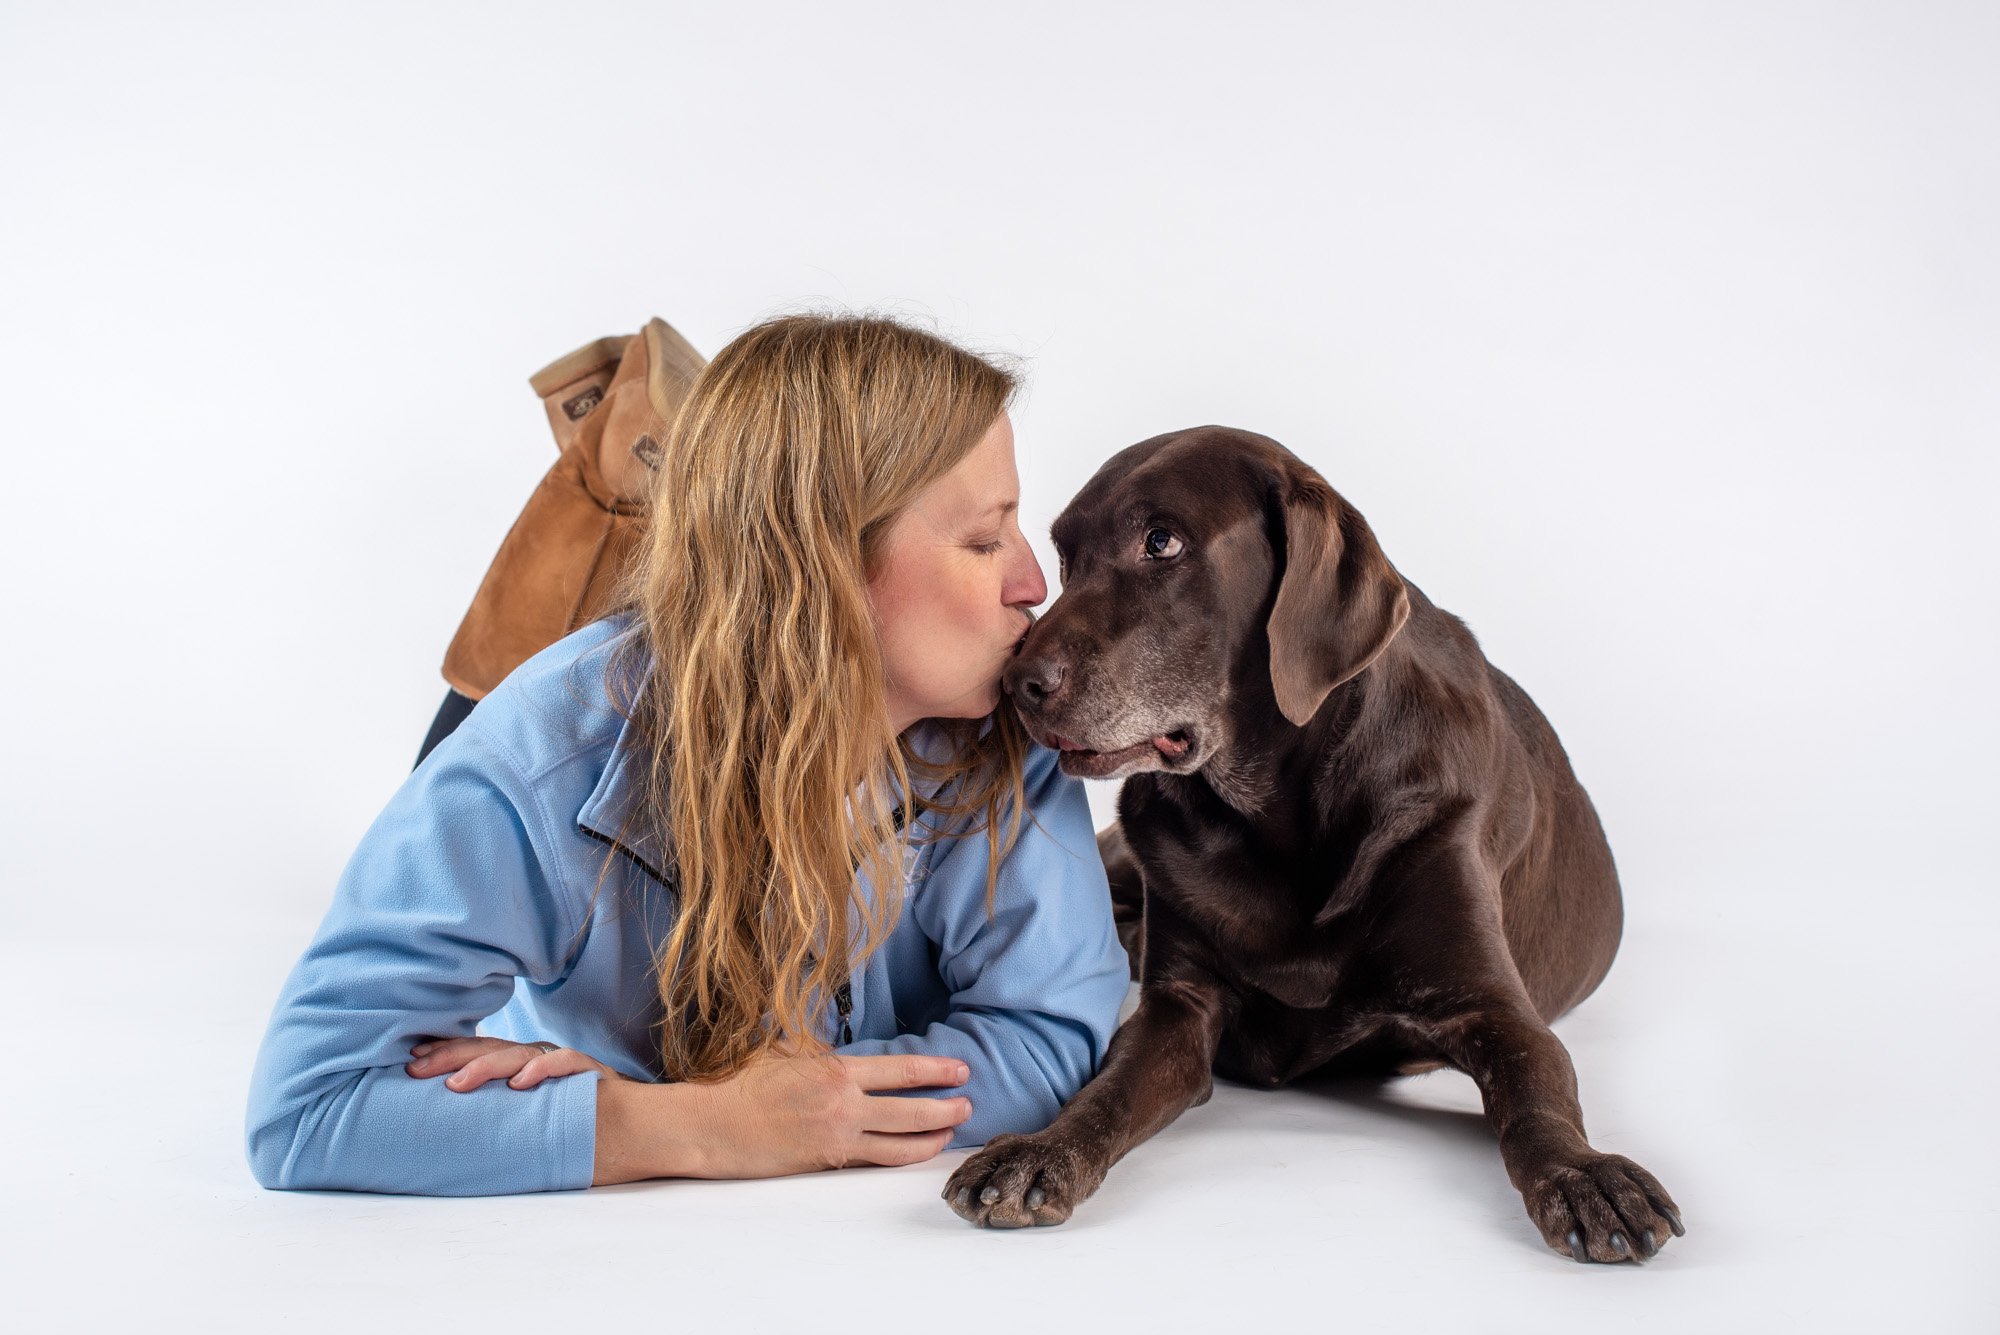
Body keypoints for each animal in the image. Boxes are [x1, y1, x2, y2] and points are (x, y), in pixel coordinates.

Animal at [944, 425, 1680, 1263]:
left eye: (1161, 541)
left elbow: (1537, 1093)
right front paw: (1042, 1148)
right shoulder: (1179, 1005)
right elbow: (1108, 1089)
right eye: (1065, 556)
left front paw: (1585, 1173)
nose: (1017, 685)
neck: (1269, 815)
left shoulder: (1493, 1007)